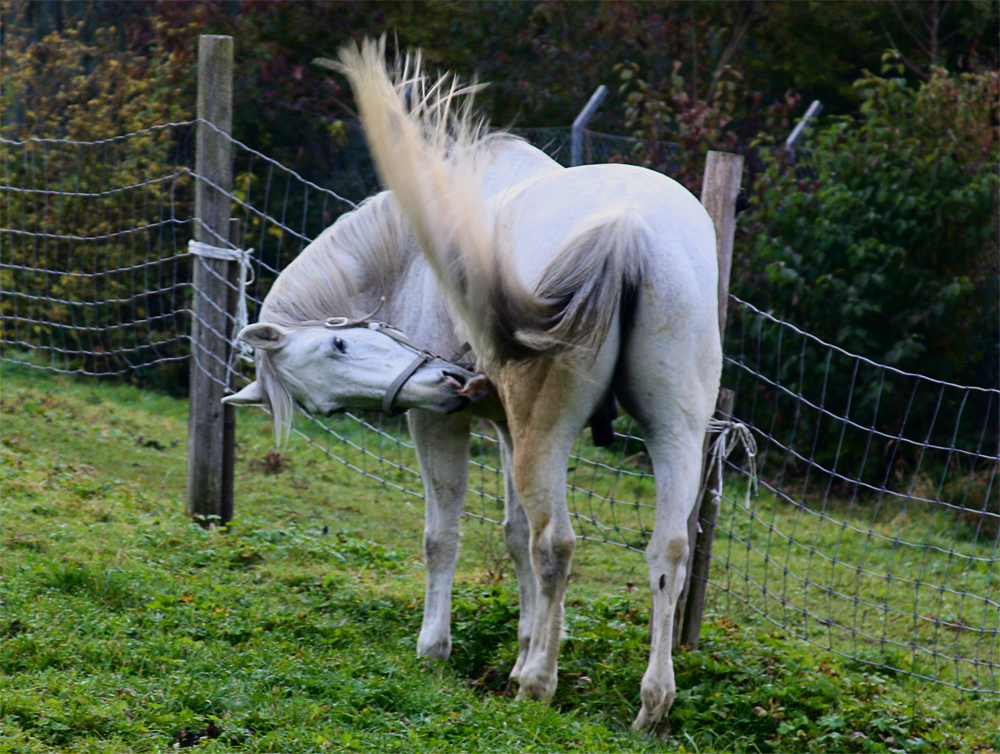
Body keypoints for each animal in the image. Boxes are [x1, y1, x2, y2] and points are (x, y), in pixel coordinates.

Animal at [225, 41, 720, 728]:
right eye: (326, 404)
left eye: (340, 343)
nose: (446, 380)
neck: (409, 256)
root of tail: (627, 229)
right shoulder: (506, 430)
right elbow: (512, 537)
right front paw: (520, 645)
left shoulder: (441, 424)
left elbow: (444, 537)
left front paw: (438, 649)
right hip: (675, 431)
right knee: (666, 552)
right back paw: (651, 705)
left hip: (548, 436)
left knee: (557, 544)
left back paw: (539, 684)